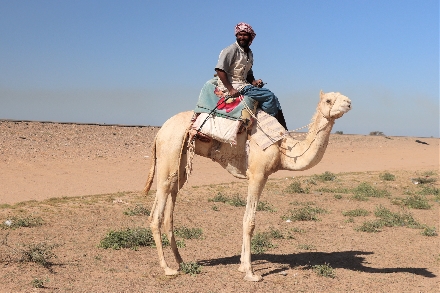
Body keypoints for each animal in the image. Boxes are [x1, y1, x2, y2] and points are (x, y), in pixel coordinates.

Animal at [144, 89, 350, 280]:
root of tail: (159, 132)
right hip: (170, 151)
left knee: (170, 202)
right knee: (157, 211)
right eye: (328, 100)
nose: (348, 103)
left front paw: (242, 266)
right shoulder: (257, 174)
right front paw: (251, 273)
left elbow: (244, 218)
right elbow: (249, 222)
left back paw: (181, 261)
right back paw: (167, 268)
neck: (284, 149)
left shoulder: (257, 176)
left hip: (181, 161)